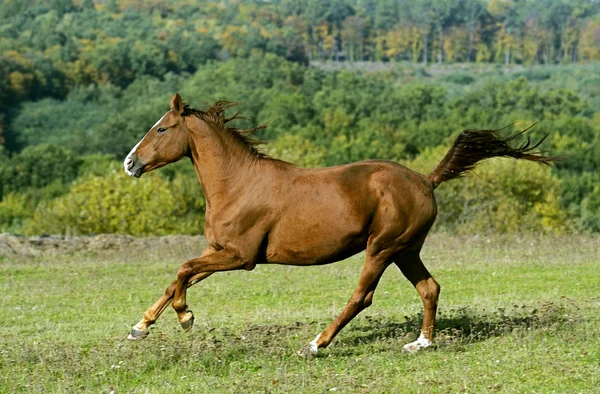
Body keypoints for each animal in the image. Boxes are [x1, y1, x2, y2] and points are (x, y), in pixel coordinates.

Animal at [122, 94, 556, 356]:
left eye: (162, 128)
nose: (130, 163)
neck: (237, 183)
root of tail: (426, 180)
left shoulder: (241, 257)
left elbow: (183, 270)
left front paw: (185, 317)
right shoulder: (217, 250)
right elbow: (178, 277)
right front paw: (140, 327)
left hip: (382, 248)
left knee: (362, 297)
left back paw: (316, 344)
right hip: (406, 250)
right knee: (429, 288)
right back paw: (421, 344)